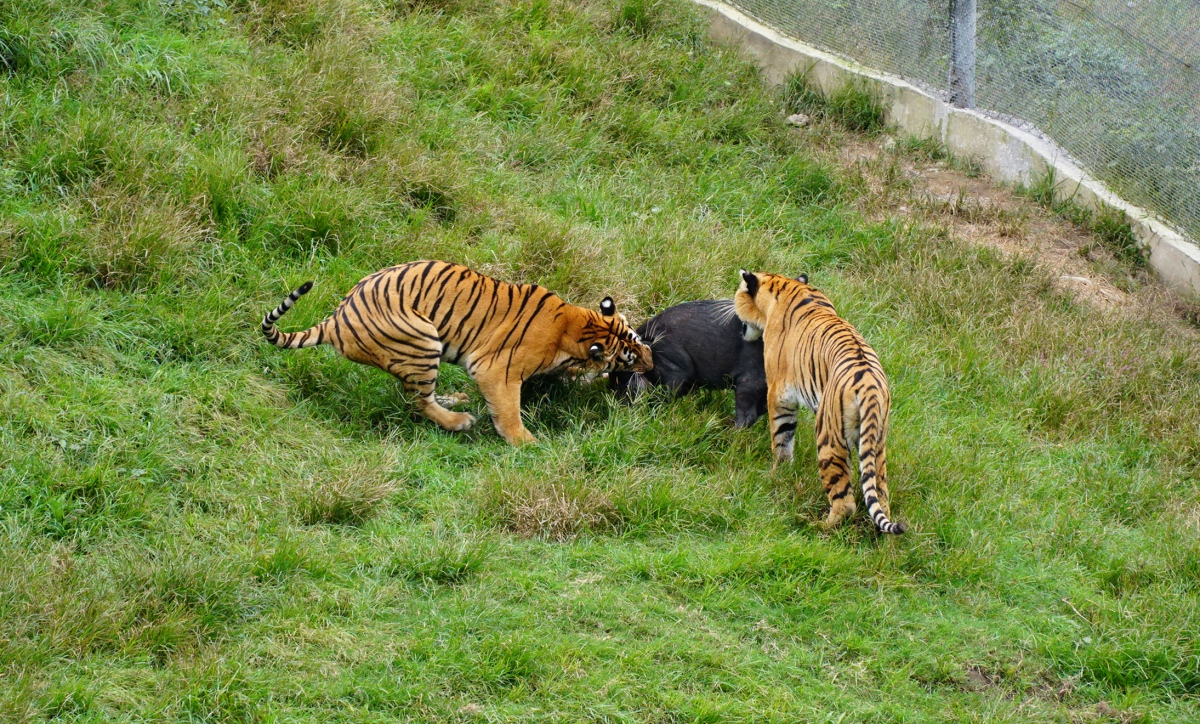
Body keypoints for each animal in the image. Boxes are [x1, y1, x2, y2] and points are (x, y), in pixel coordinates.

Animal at [262, 260, 653, 445]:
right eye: (629, 357)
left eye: (636, 338)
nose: (651, 362)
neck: (576, 325)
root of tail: (335, 320)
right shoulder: (496, 369)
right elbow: (508, 410)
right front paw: (525, 442)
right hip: (423, 339)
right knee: (416, 400)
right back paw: (459, 421)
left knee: (416, 393)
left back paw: (455, 400)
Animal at [734, 270, 906, 534]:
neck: (785, 285)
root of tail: (870, 385)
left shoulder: (779, 394)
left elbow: (782, 438)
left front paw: (778, 474)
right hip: (877, 444)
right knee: (881, 498)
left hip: (829, 438)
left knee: (844, 502)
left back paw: (814, 526)